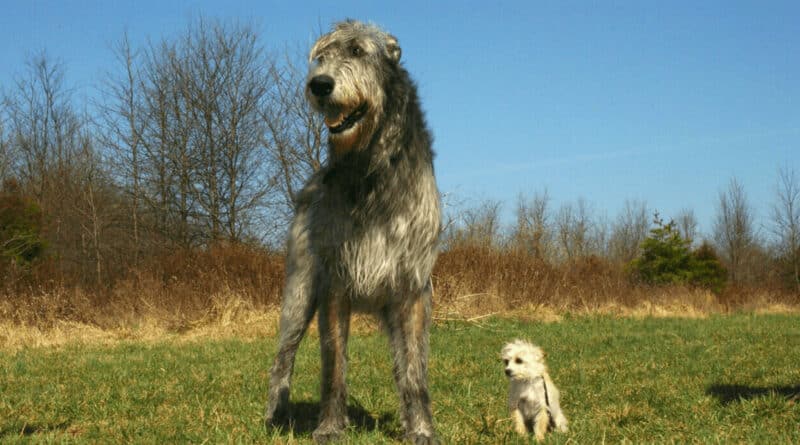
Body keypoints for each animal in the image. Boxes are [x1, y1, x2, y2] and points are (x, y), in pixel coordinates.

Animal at [268, 20, 444, 444]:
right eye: (321, 57)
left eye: (358, 51)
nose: (319, 84)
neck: (371, 168)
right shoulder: (334, 283)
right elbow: (334, 365)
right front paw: (330, 427)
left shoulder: (413, 288)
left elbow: (414, 371)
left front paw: (421, 428)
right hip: (298, 292)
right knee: (283, 357)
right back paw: (276, 414)